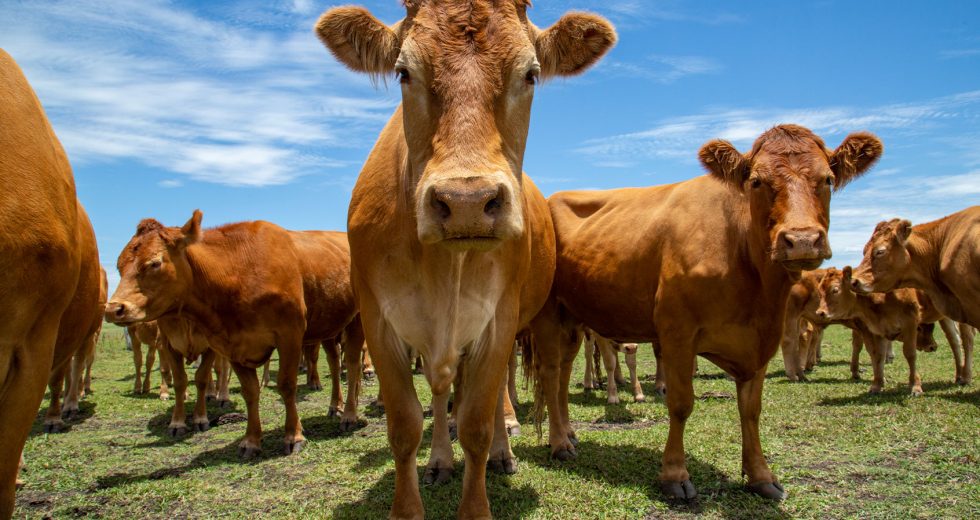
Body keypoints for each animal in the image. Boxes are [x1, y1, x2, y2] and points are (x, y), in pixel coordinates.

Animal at [314, 2, 615, 517]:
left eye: (531, 73)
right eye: (403, 72)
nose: (467, 202)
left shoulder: (498, 320)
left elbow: (476, 421)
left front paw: (482, 481)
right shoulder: (379, 321)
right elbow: (405, 425)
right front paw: (413, 496)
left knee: (520, 389)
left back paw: (516, 448)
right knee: (442, 394)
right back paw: (440, 459)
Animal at [528, 125, 883, 501]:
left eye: (827, 179)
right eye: (756, 181)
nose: (801, 240)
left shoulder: (761, 339)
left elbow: (751, 410)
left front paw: (760, 475)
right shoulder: (677, 332)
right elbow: (681, 403)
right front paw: (674, 475)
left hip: (573, 317)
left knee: (564, 373)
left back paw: (568, 433)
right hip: (548, 314)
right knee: (550, 373)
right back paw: (559, 444)